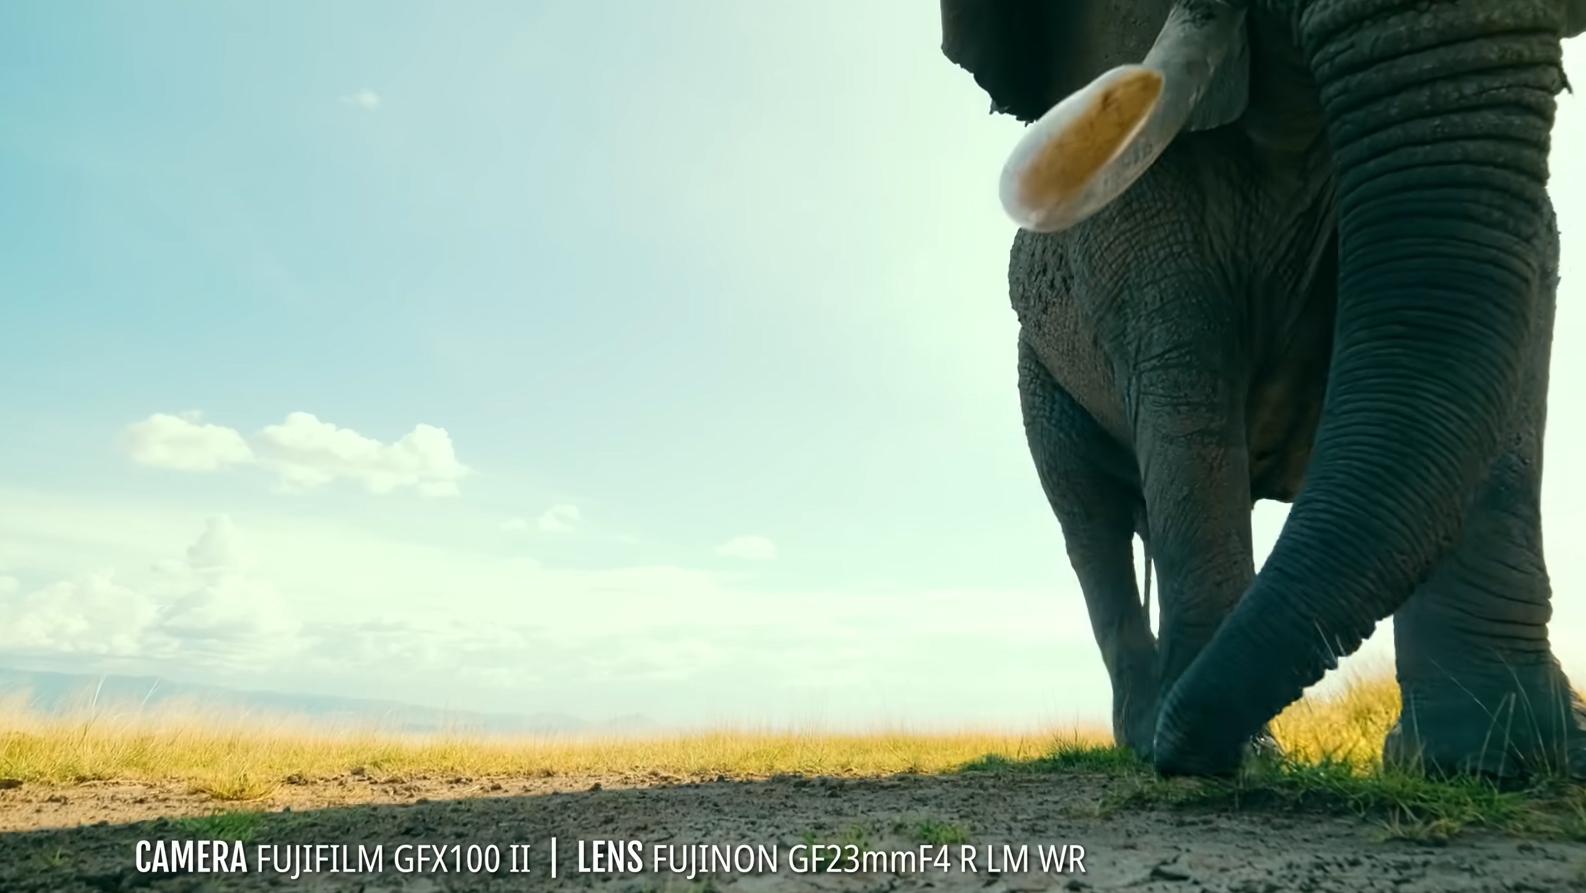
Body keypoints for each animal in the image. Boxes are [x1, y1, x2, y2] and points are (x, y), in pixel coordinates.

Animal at [940, 0, 1586, 778]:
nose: (1179, 755)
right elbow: (1187, 363)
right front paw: (1236, 757)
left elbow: (1526, 291)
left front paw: (1500, 760)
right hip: (1038, 377)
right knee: (1091, 520)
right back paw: (1146, 728)